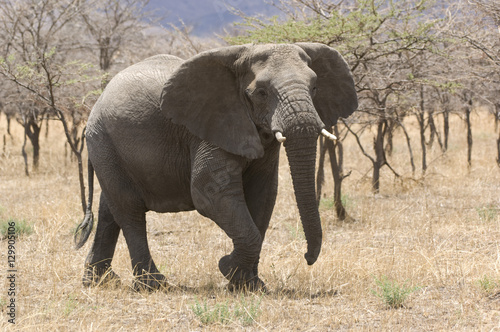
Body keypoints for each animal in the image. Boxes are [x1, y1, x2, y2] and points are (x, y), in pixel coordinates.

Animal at [73, 42, 356, 290]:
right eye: (261, 93)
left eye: (315, 87)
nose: (307, 258)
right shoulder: (210, 127)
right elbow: (209, 193)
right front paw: (228, 268)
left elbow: (263, 194)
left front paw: (248, 284)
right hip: (103, 141)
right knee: (129, 209)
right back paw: (153, 285)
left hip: (108, 148)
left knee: (110, 208)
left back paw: (100, 281)